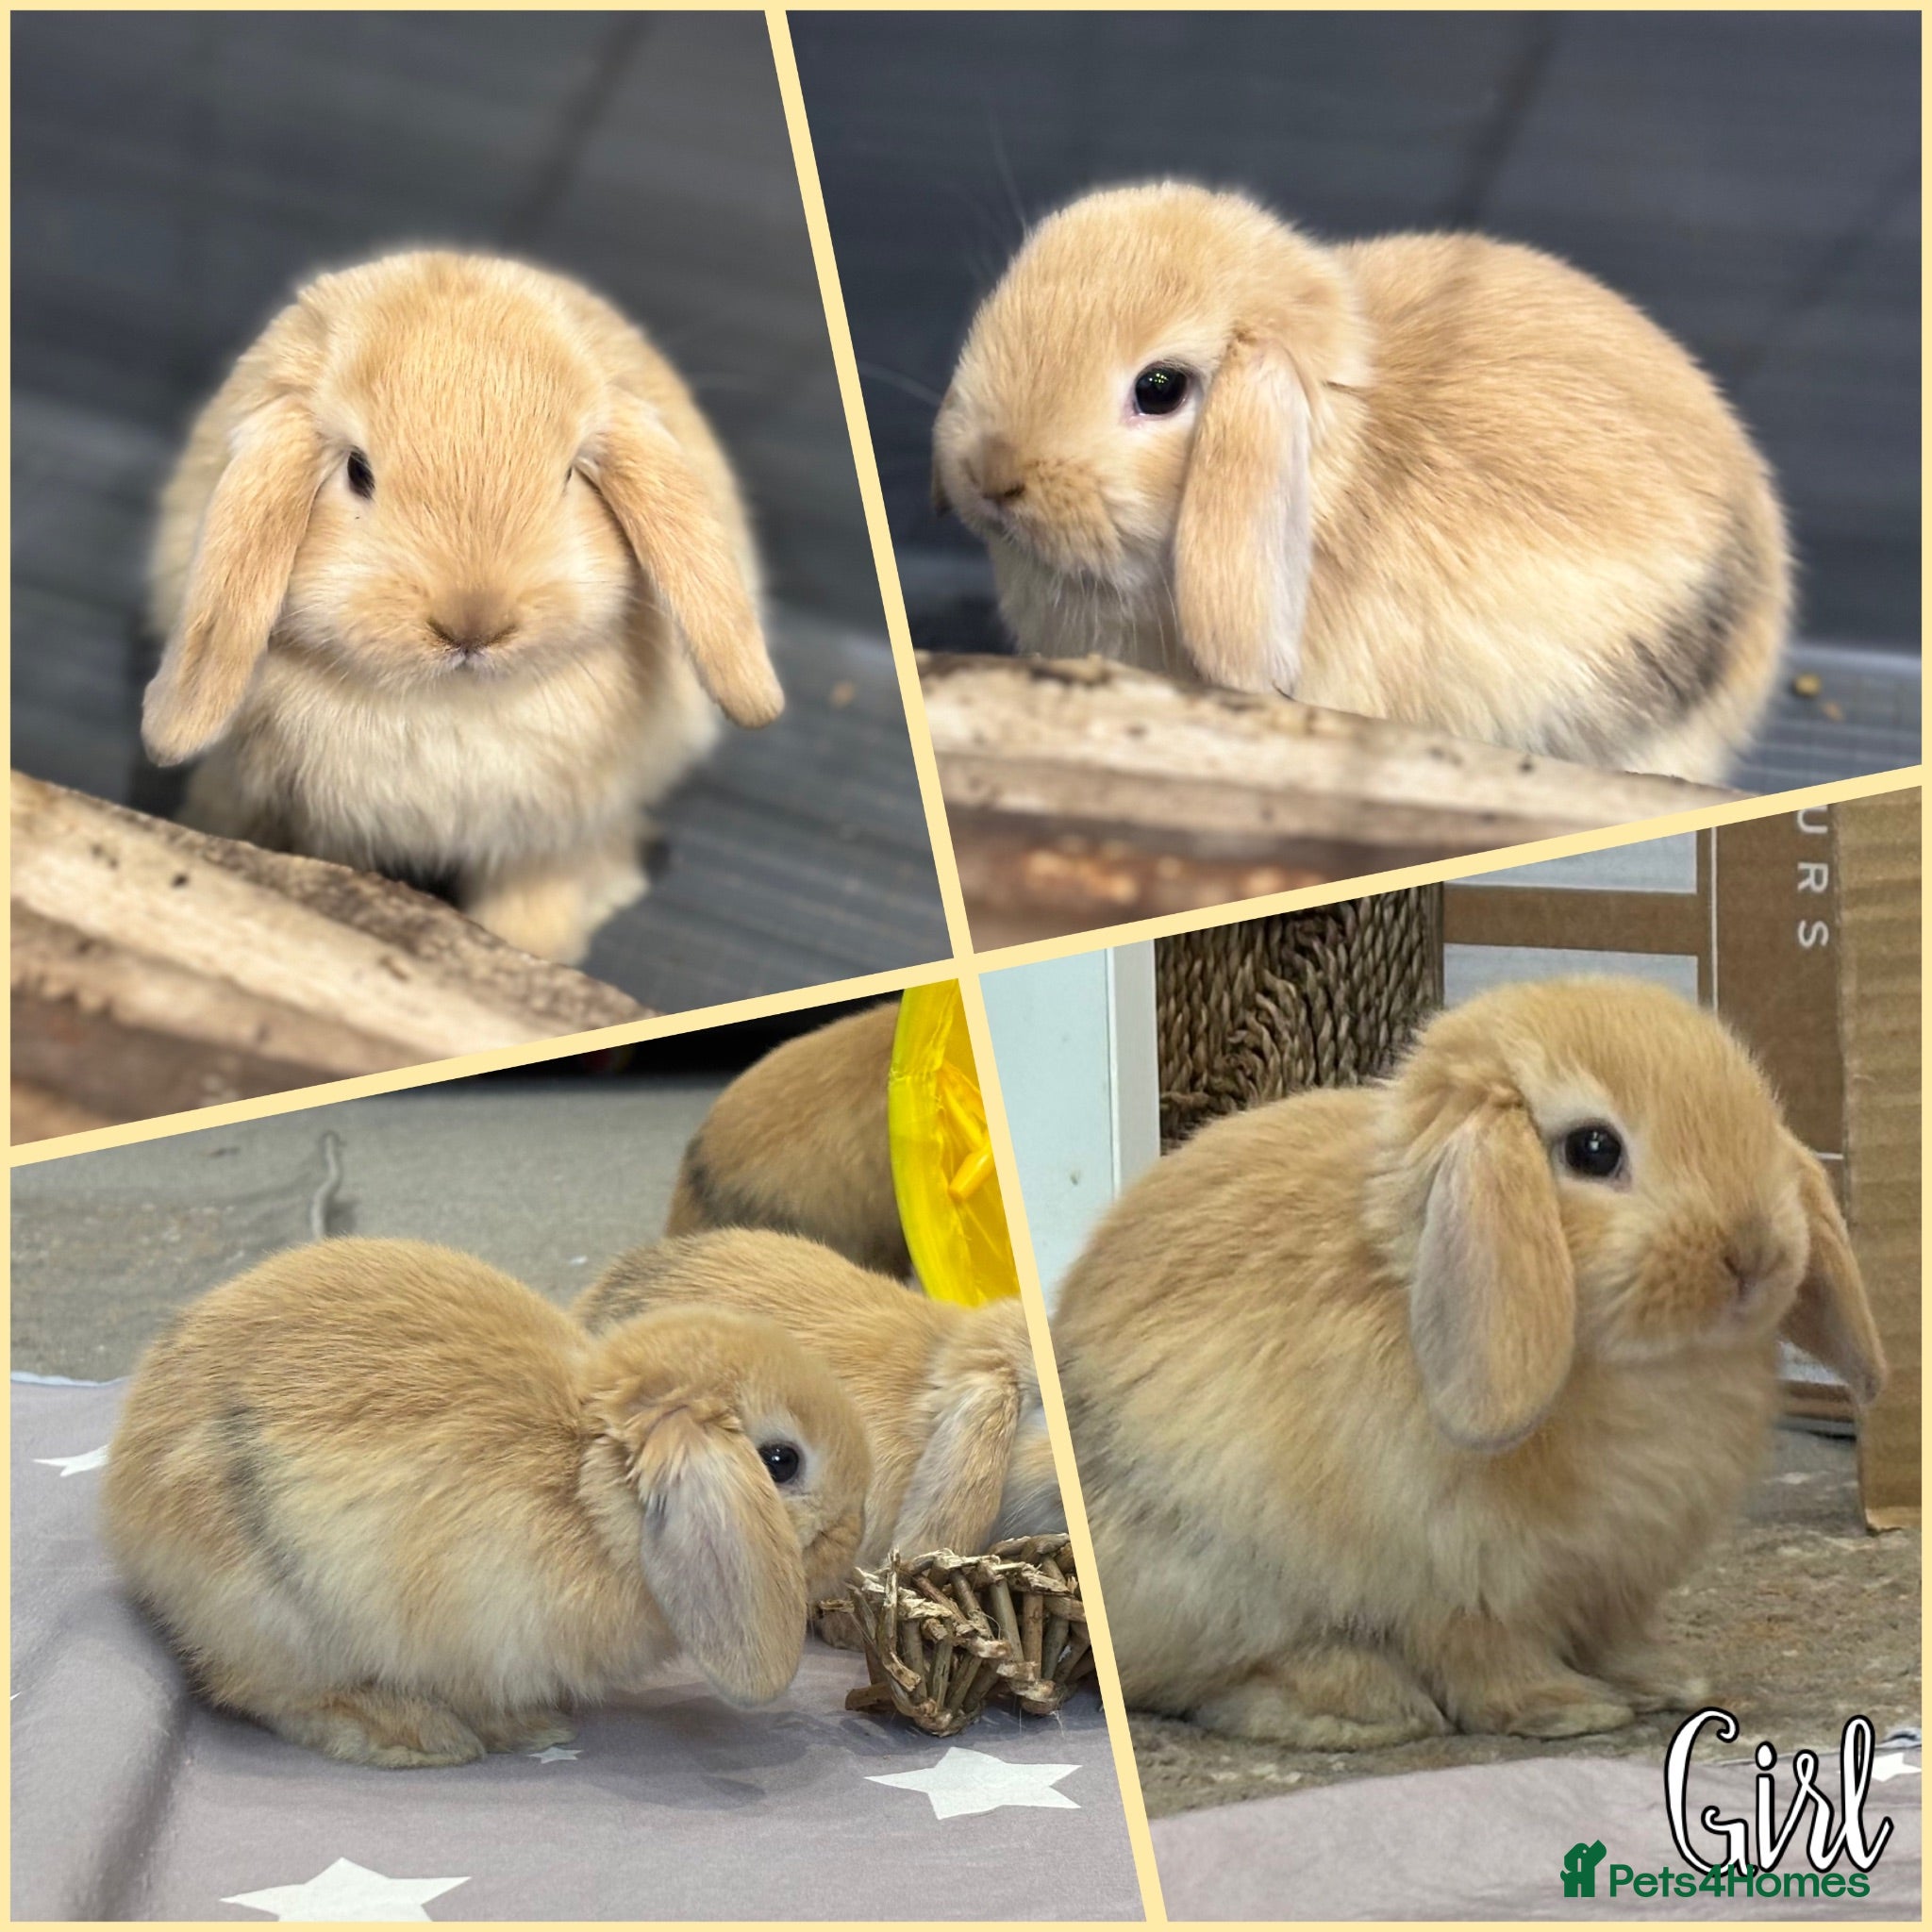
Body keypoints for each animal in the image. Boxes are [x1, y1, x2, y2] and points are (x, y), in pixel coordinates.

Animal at [101, 1237, 869, 1768]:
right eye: (780, 1461)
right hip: (274, 1612)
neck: (586, 1485)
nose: (854, 1534)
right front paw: (532, 1731)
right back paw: (416, 1737)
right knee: (261, 1689)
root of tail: (124, 1500)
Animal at [142, 250, 784, 965]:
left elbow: (533, 898)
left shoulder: (544, 837)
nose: (473, 624)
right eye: (357, 471)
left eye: (569, 475)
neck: (451, 701)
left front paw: (535, 951)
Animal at [1050, 976, 1884, 1748]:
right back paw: (1367, 1709)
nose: (1755, 1254)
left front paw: (1668, 1681)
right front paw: (1568, 1709)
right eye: (1593, 1149)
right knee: (1221, 1676)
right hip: (1213, 1577)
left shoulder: (1614, 1583)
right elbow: (1490, 1662)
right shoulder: (1461, 1583)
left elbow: (1614, 1641)